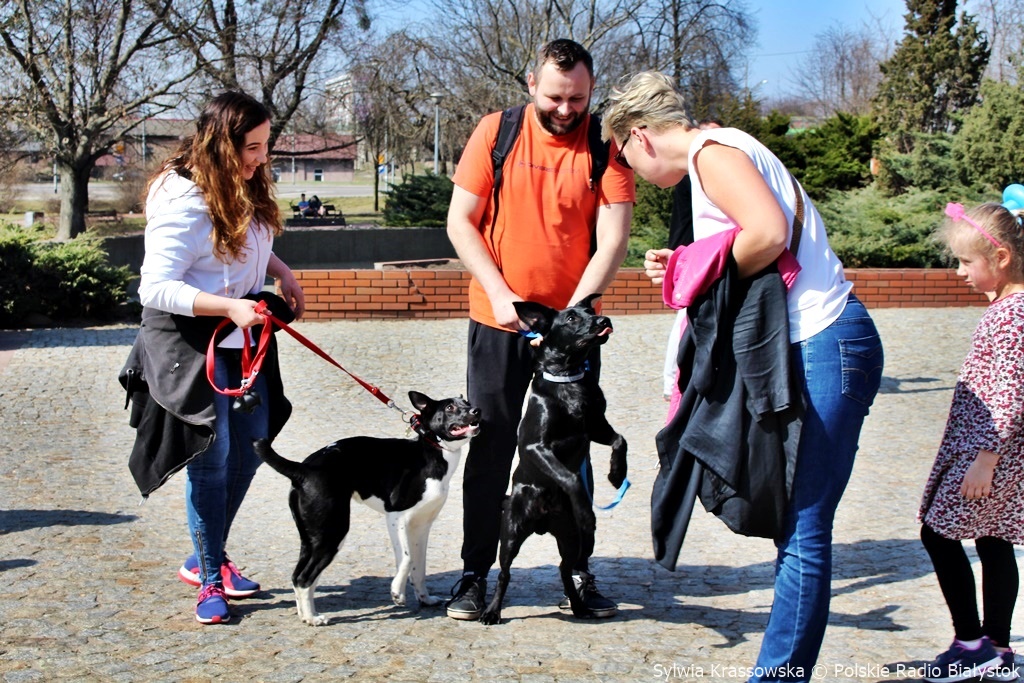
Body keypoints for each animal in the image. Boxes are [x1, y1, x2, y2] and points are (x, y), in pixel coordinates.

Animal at [253, 391, 480, 626]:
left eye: (467, 403)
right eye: (450, 408)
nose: (476, 411)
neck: (432, 449)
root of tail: (303, 469)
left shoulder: (421, 527)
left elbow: (419, 567)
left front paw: (425, 599)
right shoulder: (396, 518)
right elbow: (406, 559)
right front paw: (397, 593)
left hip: (312, 538)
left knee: (299, 577)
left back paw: (305, 615)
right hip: (332, 534)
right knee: (304, 577)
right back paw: (313, 618)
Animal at [479, 294, 627, 625]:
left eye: (589, 311)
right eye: (571, 318)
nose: (604, 320)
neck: (568, 379)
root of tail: (542, 522)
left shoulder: (595, 428)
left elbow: (620, 440)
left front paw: (616, 474)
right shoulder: (536, 446)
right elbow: (570, 477)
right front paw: (586, 510)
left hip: (571, 539)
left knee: (564, 569)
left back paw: (580, 606)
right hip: (511, 533)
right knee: (504, 574)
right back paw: (492, 611)